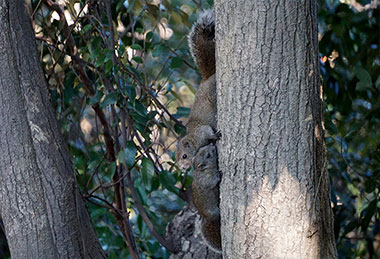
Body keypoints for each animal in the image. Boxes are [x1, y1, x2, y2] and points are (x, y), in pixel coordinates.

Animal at [175, 9, 217, 171]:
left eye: (184, 156)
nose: (183, 168)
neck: (193, 137)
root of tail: (207, 78)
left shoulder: (202, 131)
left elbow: (209, 132)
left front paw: (215, 136)